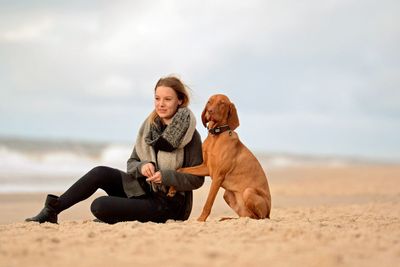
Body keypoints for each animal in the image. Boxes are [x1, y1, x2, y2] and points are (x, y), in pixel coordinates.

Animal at [179, 94, 270, 222]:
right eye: (209, 102)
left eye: (222, 103)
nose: (210, 111)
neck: (215, 136)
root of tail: (269, 213)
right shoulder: (206, 168)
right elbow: (181, 169)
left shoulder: (218, 176)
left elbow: (208, 202)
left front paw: (201, 219)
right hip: (227, 194)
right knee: (246, 216)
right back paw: (228, 219)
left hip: (249, 192)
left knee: (258, 218)